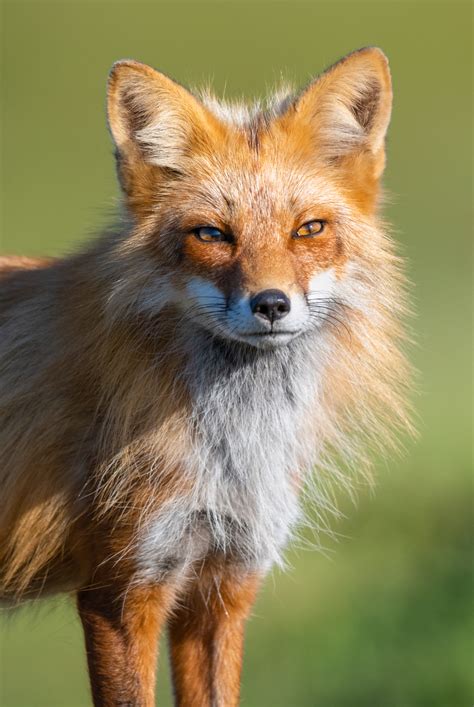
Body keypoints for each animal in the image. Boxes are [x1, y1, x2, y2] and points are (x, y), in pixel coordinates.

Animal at [0, 47, 412, 704]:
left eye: (309, 229)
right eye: (212, 234)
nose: (272, 304)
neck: (231, 447)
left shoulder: (224, 584)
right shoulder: (122, 590)